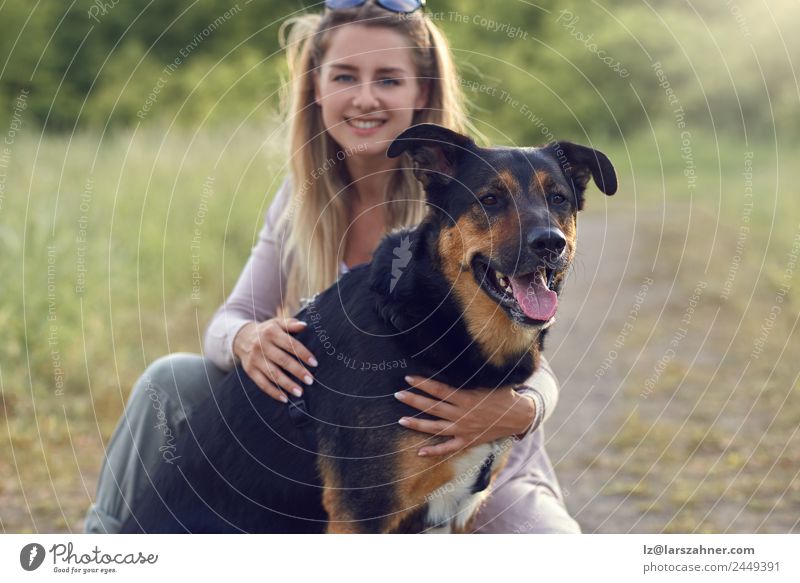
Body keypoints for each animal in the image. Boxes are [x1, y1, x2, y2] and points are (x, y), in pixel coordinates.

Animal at [120, 123, 620, 532]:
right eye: (491, 199)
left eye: (558, 199)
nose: (550, 244)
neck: (430, 321)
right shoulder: (362, 513)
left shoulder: (454, 515)